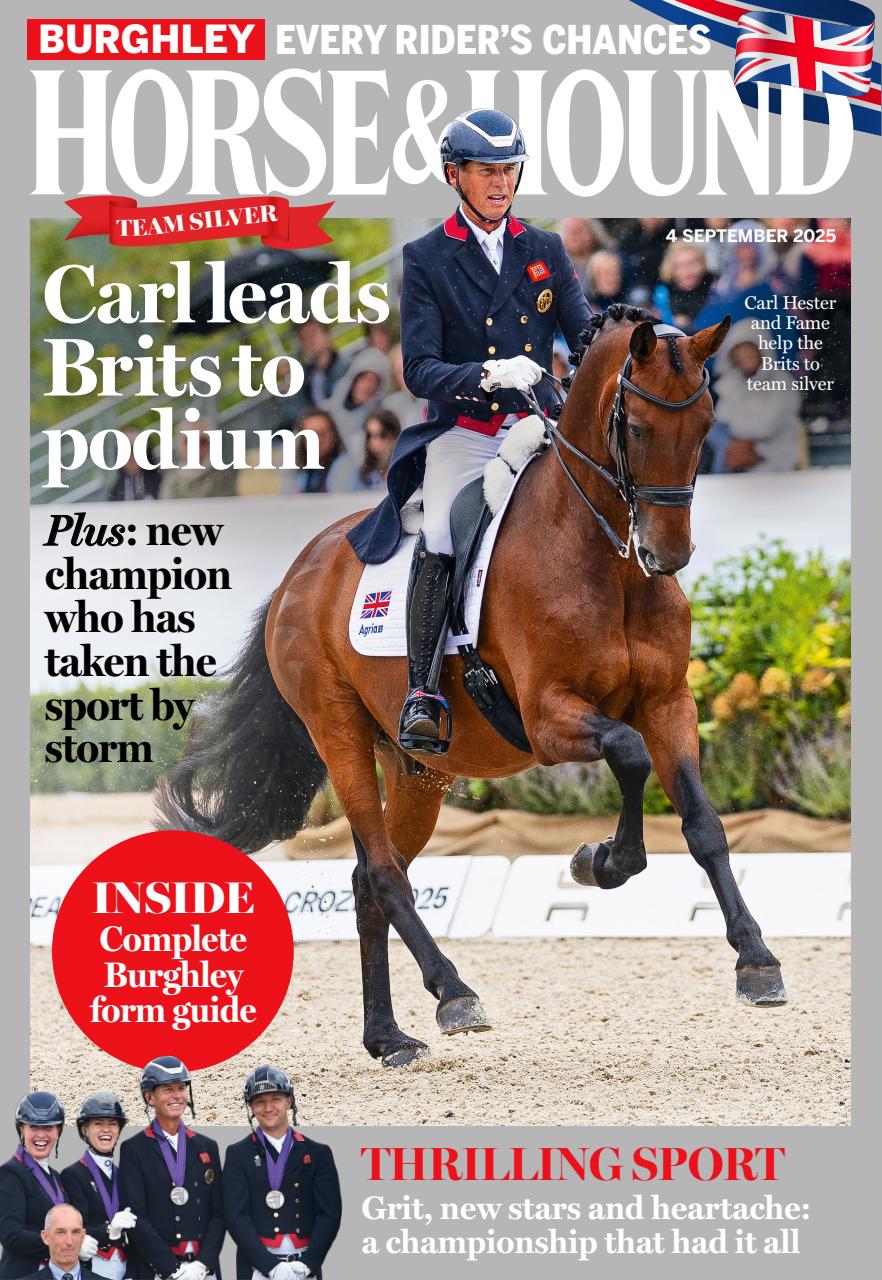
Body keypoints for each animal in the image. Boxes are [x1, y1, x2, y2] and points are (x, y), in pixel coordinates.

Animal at [157, 304, 787, 1069]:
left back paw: (388, 1037)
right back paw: (453, 993)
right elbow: (630, 755)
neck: (603, 559)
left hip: (418, 771)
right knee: (385, 873)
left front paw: (756, 961)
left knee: (369, 878)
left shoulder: (670, 705)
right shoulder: (549, 718)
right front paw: (599, 862)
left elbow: (703, 825)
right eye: (636, 428)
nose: (666, 556)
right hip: (339, 734)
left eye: (705, 426)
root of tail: (297, 574)